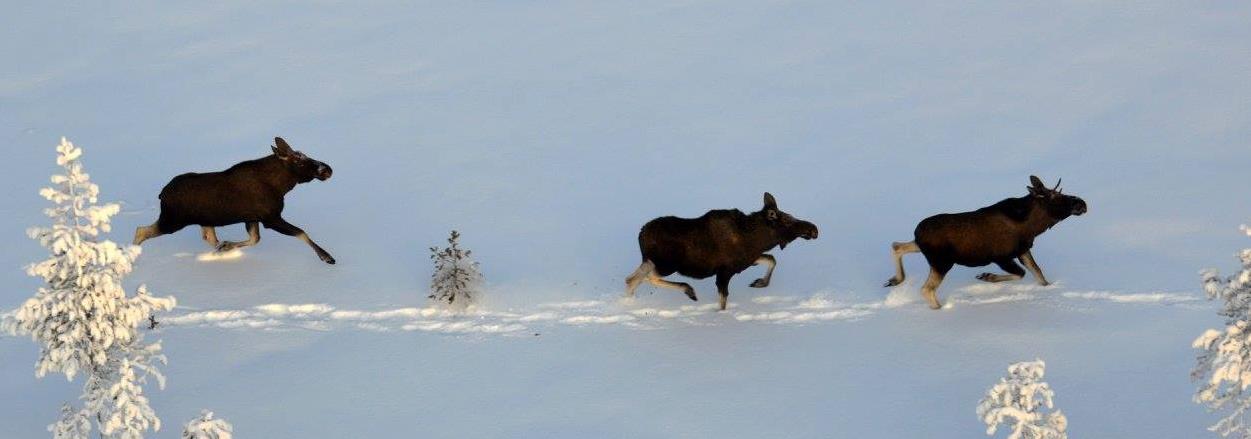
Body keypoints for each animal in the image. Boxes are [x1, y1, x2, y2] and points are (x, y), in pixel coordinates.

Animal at [133, 136, 337, 265]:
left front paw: (227, 246)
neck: (282, 186)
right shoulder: (271, 218)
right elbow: (301, 233)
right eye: (299, 161)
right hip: (173, 220)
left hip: (202, 221)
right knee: (141, 230)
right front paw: (327, 257)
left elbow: (254, 239)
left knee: (209, 238)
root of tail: (162, 194)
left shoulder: (252, 218)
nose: (327, 169)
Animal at [625, 193, 820, 311]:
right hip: (666, 264)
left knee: (632, 279)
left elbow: (771, 259)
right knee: (643, 278)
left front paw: (759, 282)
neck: (759, 240)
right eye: (787, 220)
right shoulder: (725, 272)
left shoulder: (747, 261)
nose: (813, 229)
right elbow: (723, 300)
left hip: (653, 261)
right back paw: (689, 290)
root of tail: (640, 235)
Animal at [890, 175, 1085, 310]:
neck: (1033, 228)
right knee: (926, 289)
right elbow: (1021, 273)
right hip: (941, 262)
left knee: (897, 245)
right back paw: (939, 308)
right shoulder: (1001, 257)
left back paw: (895, 280)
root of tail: (918, 232)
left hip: (924, 251)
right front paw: (987, 276)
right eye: (1054, 197)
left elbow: (1039, 275)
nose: (1082, 203)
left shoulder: (1023, 250)